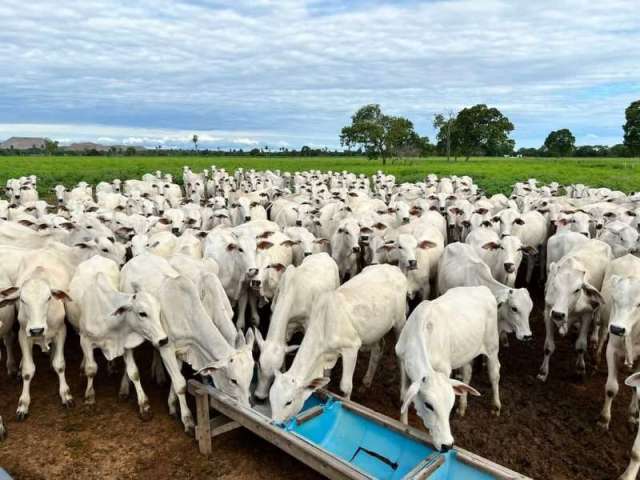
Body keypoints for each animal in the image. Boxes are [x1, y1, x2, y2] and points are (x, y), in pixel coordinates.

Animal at [268, 264, 408, 422]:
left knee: (400, 357)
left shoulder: (351, 348)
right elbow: (326, 377)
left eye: (289, 402)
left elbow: (345, 386)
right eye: (271, 398)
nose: (275, 422)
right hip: (375, 331)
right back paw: (366, 382)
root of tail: (393, 268)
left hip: (400, 322)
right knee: (379, 348)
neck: (324, 324)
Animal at [396, 286, 500, 452]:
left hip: (492, 346)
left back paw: (496, 406)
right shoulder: (403, 363)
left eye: (450, 405)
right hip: (467, 352)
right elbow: (405, 394)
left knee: (494, 373)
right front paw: (403, 423)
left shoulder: (445, 369)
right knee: (467, 373)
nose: (447, 445)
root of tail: (483, 288)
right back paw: (462, 406)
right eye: (429, 405)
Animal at [536, 240, 612, 382]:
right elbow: (548, 347)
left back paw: (594, 338)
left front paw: (580, 369)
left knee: (597, 320)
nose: (558, 314)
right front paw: (543, 372)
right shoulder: (548, 312)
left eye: (577, 290)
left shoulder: (587, 314)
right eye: (554, 285)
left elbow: (581, 346)